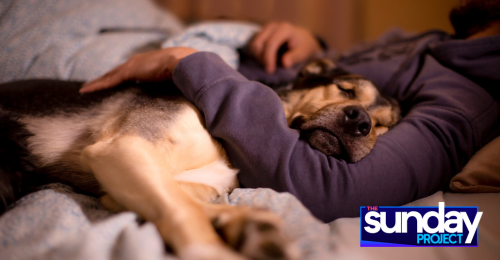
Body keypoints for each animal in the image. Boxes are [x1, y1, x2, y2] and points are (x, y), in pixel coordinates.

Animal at [0, 59, 398, 260]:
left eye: (383, 126)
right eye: (344, 89)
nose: (361, 123)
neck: (226, 145)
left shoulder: (123, 180)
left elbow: (186, 198)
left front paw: (247, 224)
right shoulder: (123, 147)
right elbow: (183, 209)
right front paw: (213, 247)